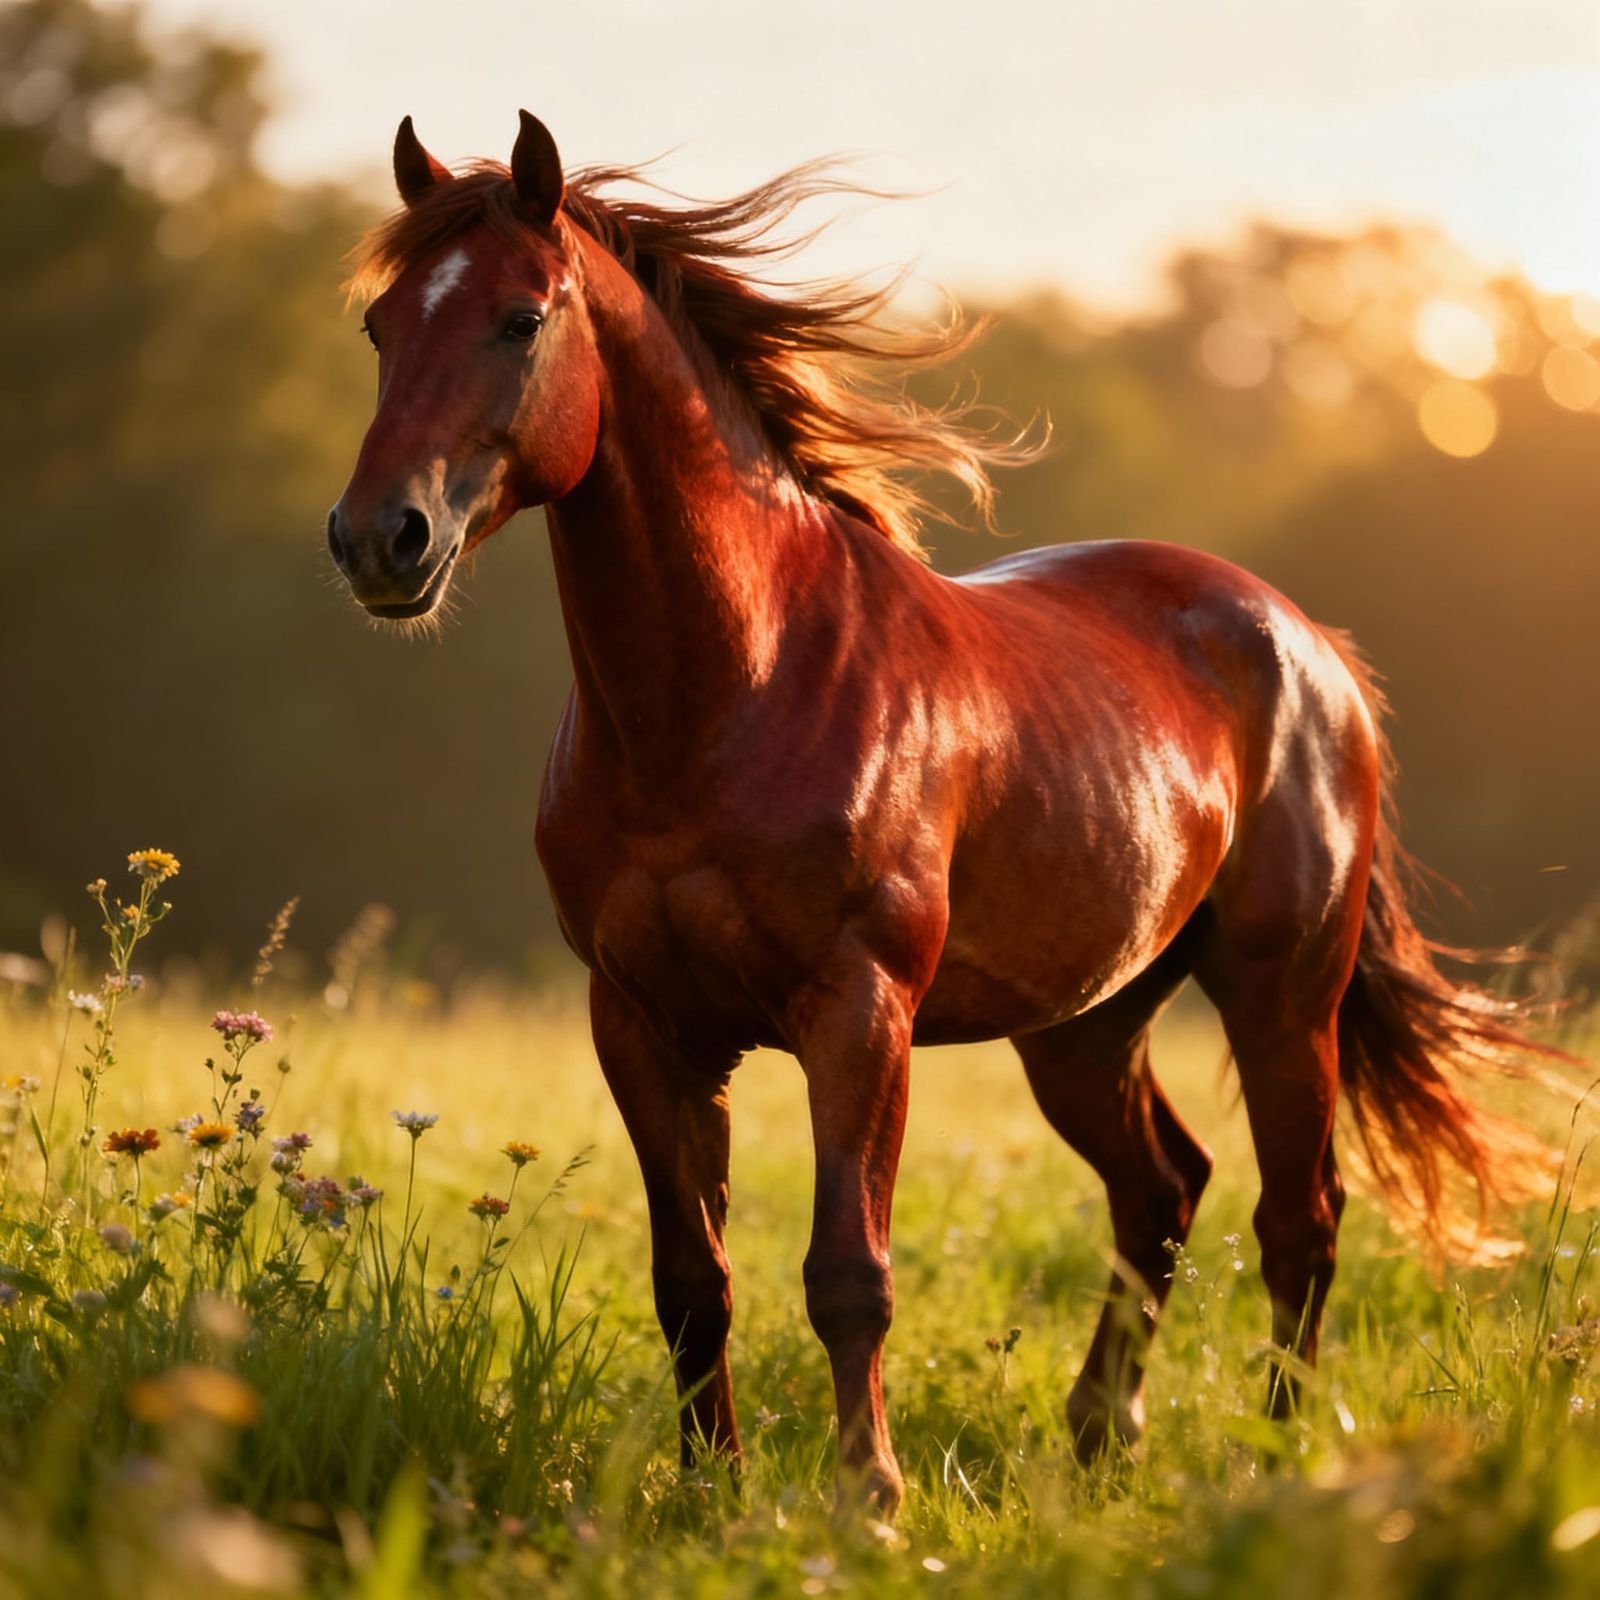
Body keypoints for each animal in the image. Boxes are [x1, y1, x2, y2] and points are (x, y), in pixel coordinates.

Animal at [328, 112, 1559, 1514]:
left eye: (521, 317)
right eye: (379, 327)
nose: (378, 538)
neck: (728, 693)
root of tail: (1309, 647)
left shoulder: (858, 1010)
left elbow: (847, 1274)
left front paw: (871, 1497)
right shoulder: (641, 1023)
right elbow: (692, 1280)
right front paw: (710, 1491)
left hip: (1279, 992)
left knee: (1298, 1219)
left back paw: (1278, 1458)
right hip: (1084, 1024)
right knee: (1163, 1192)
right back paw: (1099, 1438)